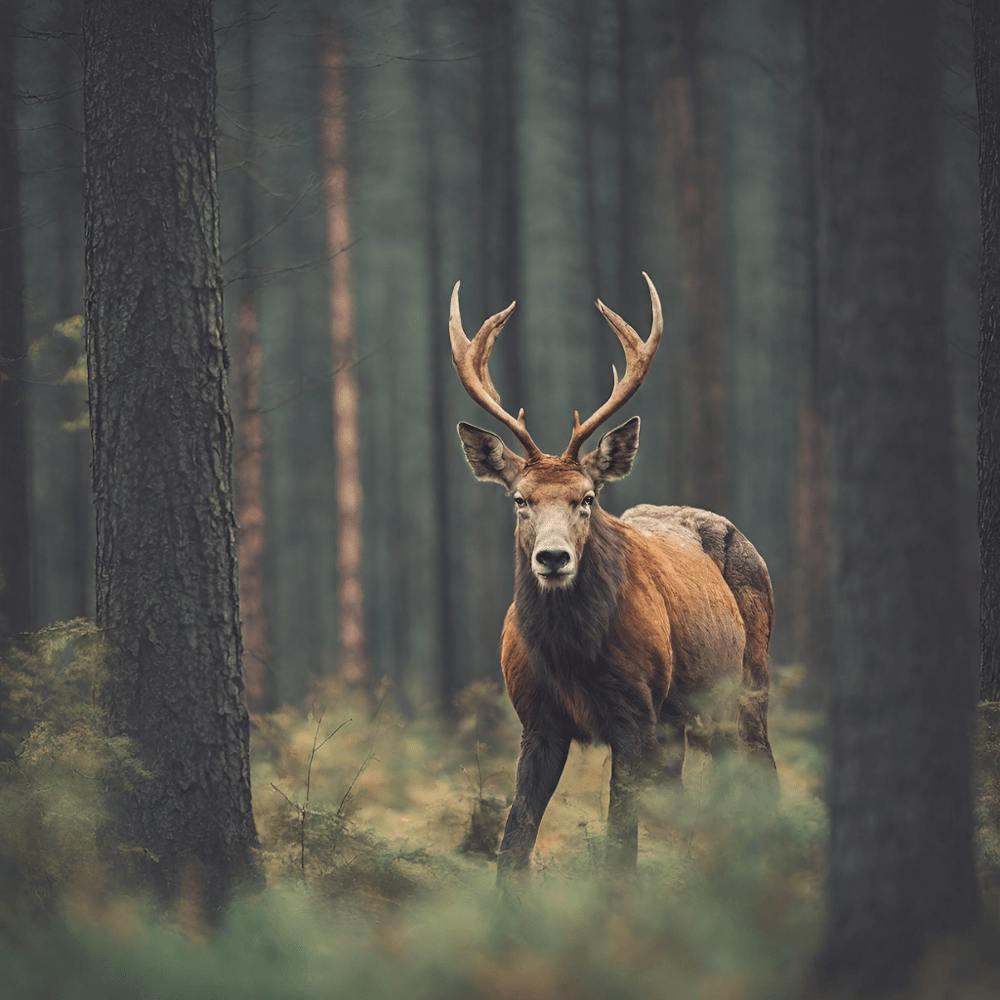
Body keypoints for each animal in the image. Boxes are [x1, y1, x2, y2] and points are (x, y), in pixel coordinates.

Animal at [449, 272, 778, 882]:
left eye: (587, 497)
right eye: (520, 500)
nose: (553, 557)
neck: (571, 659)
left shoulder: (635, 712)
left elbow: (620, 843)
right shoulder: (537, 720)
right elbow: (514, 840)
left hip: (746, 680)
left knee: (761, 773)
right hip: (682, 718)